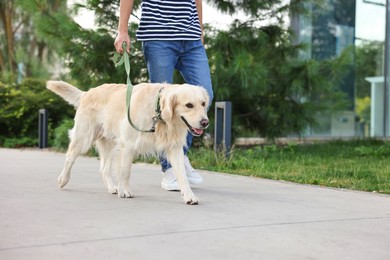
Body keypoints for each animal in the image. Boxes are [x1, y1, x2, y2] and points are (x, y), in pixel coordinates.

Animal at [46, 81, 210, 205]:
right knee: (69, 158)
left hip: (109, 143)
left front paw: (189, 196)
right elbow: (125, 171)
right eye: (189, 105)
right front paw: (125, 191)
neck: (158, 112)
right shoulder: (129, 144)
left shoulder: (174, 148)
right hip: (84, 137)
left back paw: (112, 187)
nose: (205, 122)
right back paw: (63, 180)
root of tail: (87, 92)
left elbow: (182, 175)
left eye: (203, 104)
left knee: (104, 169)